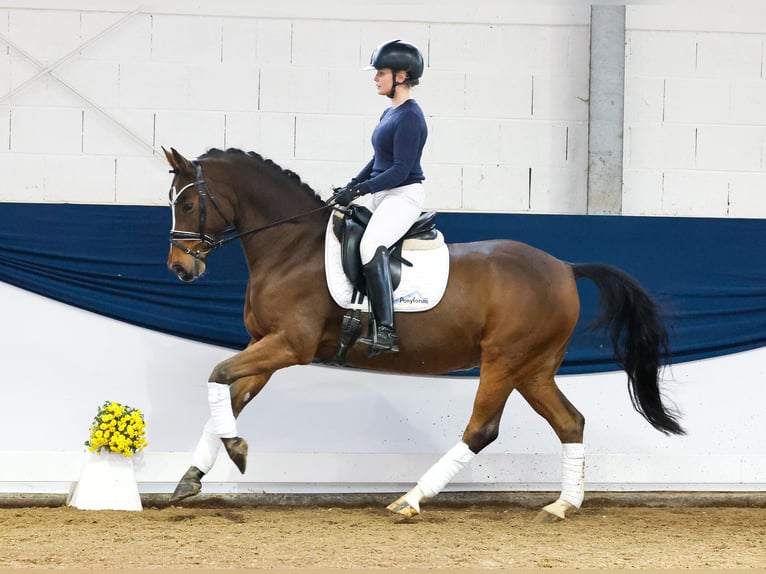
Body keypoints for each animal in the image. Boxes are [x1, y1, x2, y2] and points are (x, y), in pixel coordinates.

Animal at [162, 147, 684, 520]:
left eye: (187, 203)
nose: (180, 268)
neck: (291, 248)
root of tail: (564, 267)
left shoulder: (289, 345)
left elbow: (217, 374)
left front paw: (235, 452)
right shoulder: (264, 346)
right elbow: (227, 398)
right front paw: (191, 477)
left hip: (504, 361)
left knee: (482, 429)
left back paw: (410, 500)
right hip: (533, 368)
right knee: (570, 422)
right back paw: (562, 505)